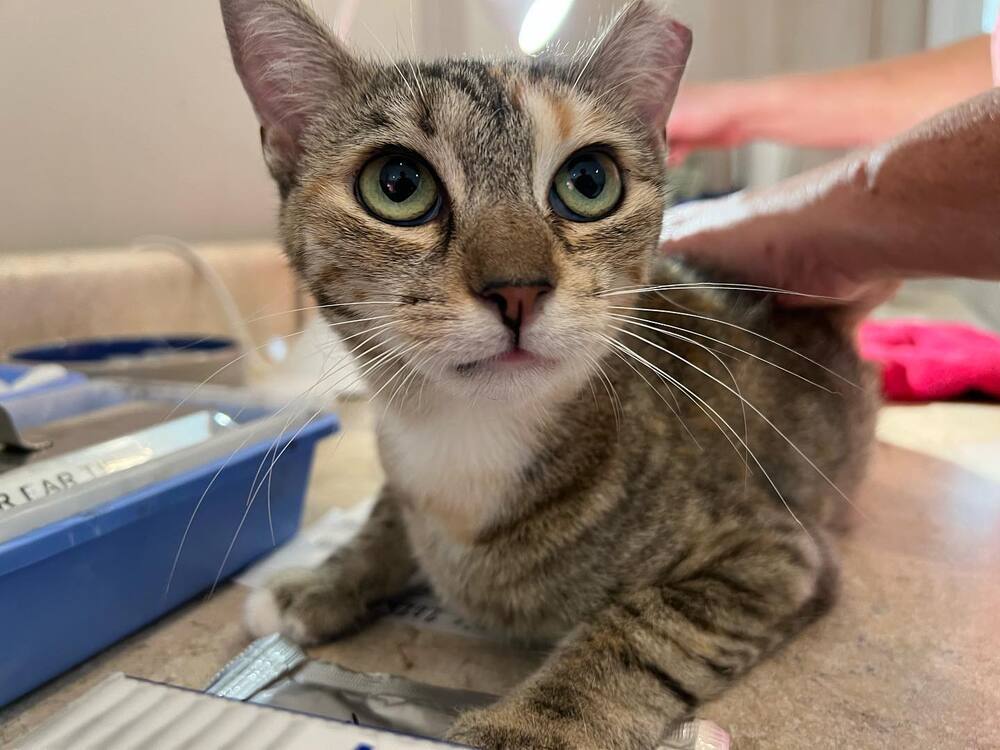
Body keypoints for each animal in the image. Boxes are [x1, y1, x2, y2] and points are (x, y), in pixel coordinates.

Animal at [221, 2, 876, 748]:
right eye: (397, 184)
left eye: (589, 181)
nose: (518, 288)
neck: (468, 441)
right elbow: (387, 515)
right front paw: (324, 583)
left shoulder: (774, 555)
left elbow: (643, 632)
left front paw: (533, 724)